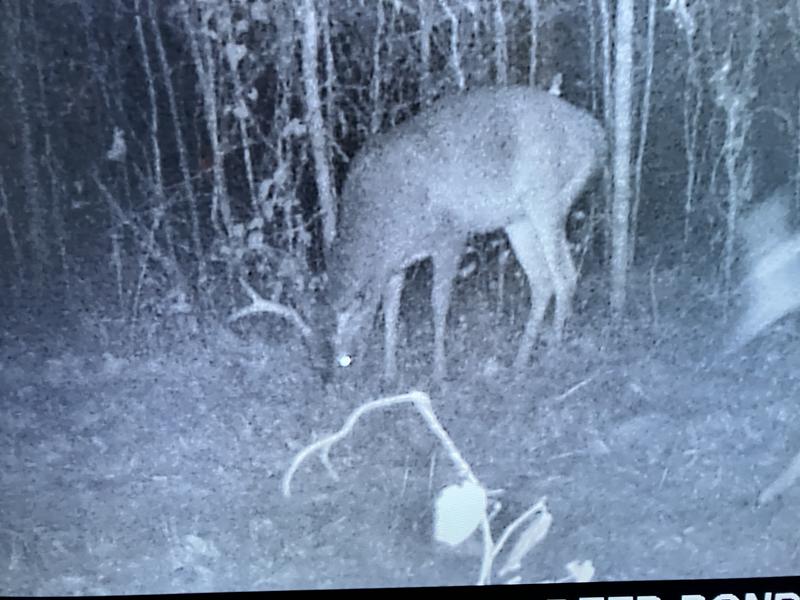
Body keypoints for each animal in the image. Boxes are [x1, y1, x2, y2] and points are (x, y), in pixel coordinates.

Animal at [325, 86, 607, 383]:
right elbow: (391, 309)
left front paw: (439, 372)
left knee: (565, 275)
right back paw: (520, 361)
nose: (333, 375)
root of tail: (597, 136)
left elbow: (438, 302)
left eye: (348, 325)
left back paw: (553, 353)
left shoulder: (451, 233)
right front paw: (390, 373)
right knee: (542, 280)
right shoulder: (395, 262)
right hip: (519, 219)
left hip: (546, 198)